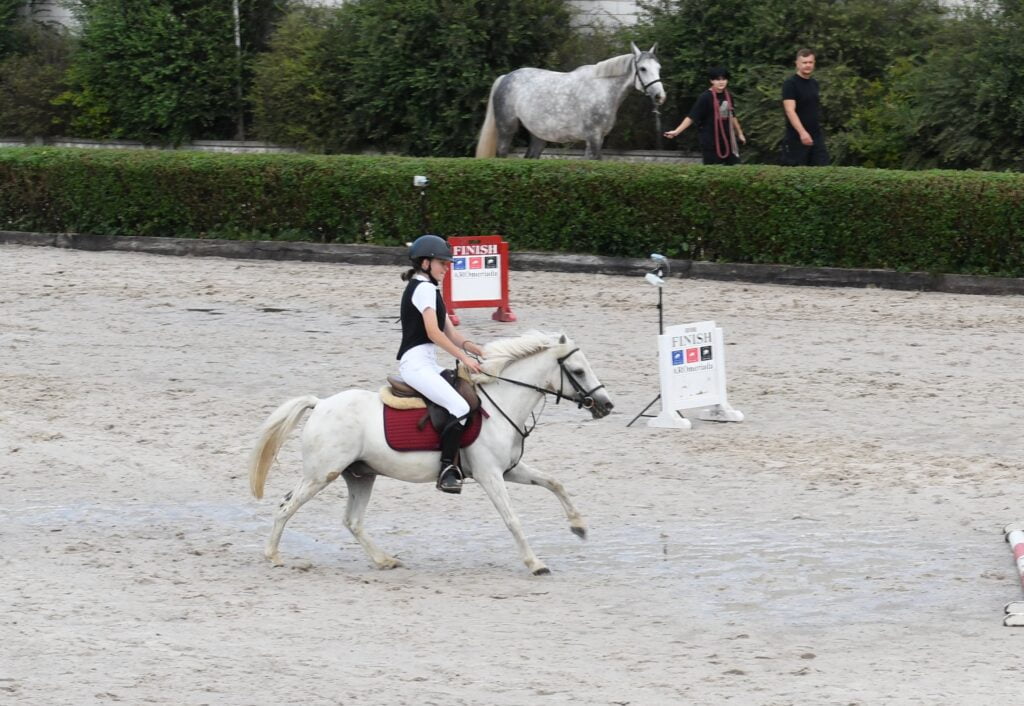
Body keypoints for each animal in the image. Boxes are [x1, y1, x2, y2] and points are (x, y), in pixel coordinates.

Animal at [250, 331, 610, 573]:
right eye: (578, 371)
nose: (606, 405)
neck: (502, 403)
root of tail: (321, 403)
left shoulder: (509, 470)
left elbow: (554, 483)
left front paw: (579, 527)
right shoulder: (490, 475)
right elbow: (512, 518)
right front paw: (535, 563)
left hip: (360, 475)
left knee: (351, 520)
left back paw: (385, 560)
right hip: (322, 474)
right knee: (286, 507)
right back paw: (273, 556)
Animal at [473, 42, 663, 160]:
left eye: (658, 68)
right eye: (643, 68)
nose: (660, 96)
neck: (602, 89)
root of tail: (505, 77)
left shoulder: (597, 138)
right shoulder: (593, 137)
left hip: (538, 135)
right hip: (507, 129)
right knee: (502, 155)